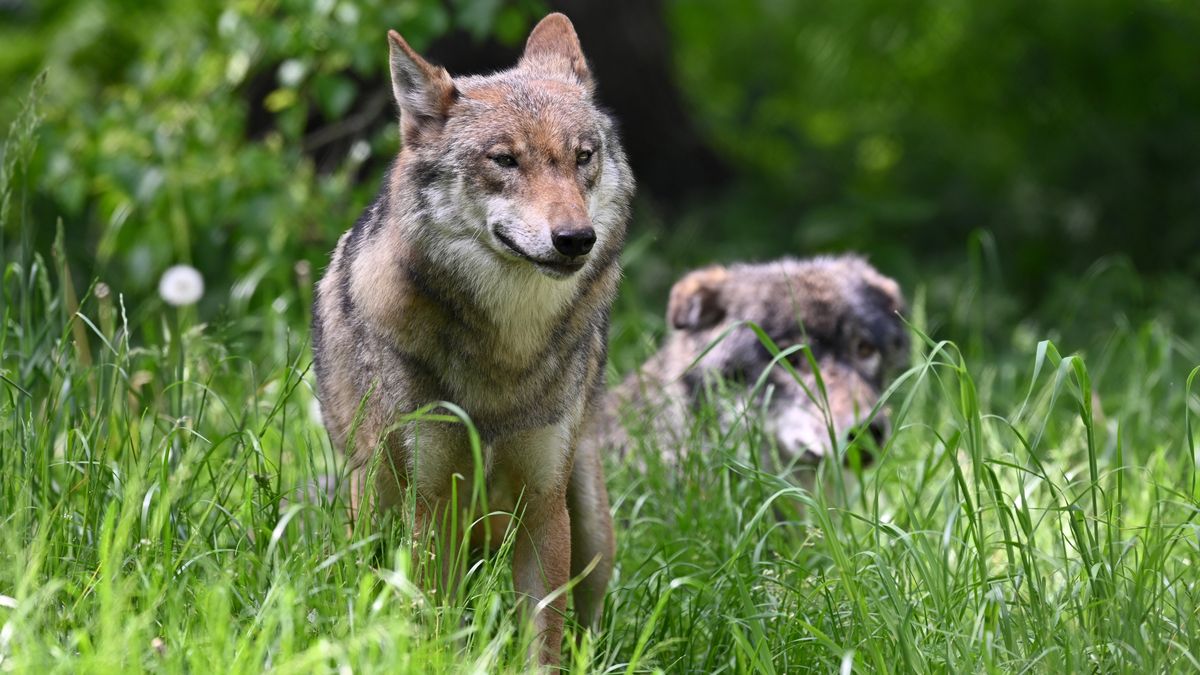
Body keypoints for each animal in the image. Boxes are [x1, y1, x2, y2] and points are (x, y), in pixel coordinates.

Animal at [307, 11, 638, 662]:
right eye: (504, 160)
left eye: (583, 156)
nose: (575, 239)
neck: (506, 349)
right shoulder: (431, 506)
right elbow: (436, 629)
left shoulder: (543, 506)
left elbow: (542, 645)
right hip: (375, 506)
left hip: (590, 522)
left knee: (586, 623)